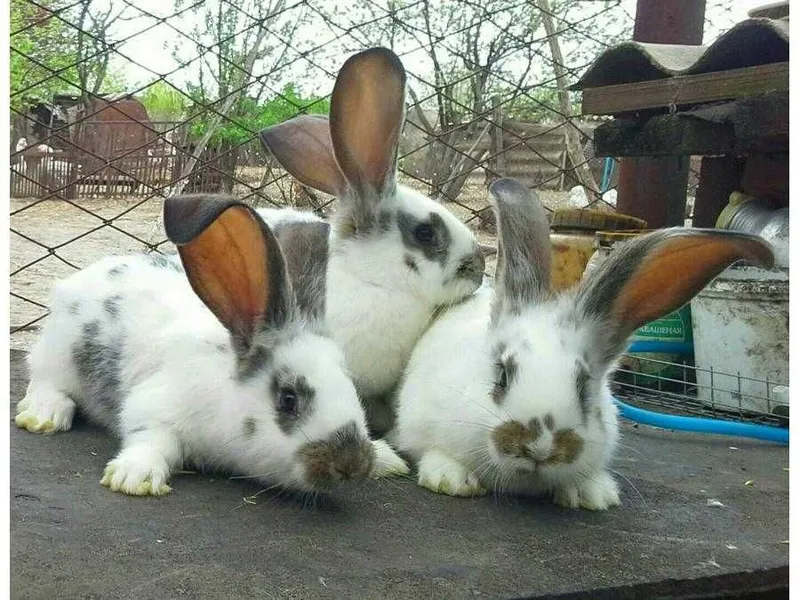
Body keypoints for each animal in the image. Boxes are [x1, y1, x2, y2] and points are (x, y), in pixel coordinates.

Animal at [14, 194, 408, 497]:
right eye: (288, 399)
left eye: (351, 386)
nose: (352, 465)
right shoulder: (155, 408)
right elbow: (152, 439)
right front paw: (135, 477)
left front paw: (387, 458)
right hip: (58, 356)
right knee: (42, 378)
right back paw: (45, 415)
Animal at [389, 177, 775, 511]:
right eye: (502, 376)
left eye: (585, 388)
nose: (541, 448)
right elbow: (432, 451)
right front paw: (452, 478)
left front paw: (591, 494)